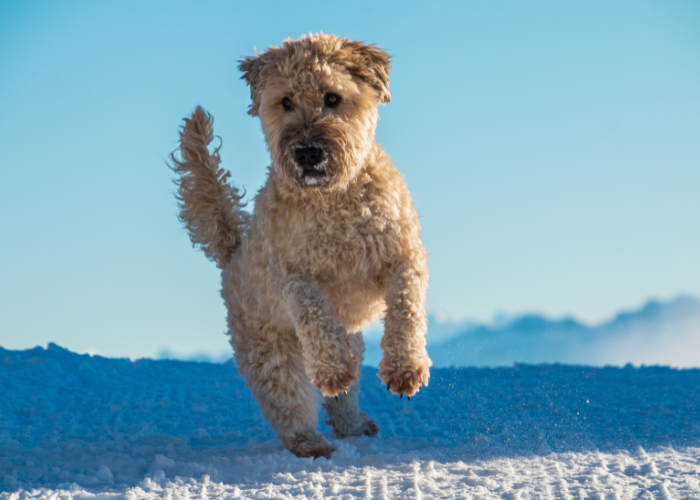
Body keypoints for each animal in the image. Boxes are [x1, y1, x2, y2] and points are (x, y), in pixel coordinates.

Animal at [171, 33, 432, 458]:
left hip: (348, 338)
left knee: (343, 396)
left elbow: (406, 308)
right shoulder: (293, 276)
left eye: (332, 97)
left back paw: (354, 422)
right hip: (269, 350)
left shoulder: (403, 255)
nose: (308, 152)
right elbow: (315, 314)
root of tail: (233, 253)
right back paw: (311, 441)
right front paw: (332, 371)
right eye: (285, 101)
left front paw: (405, 369)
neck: (334, 199)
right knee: (289, 399)